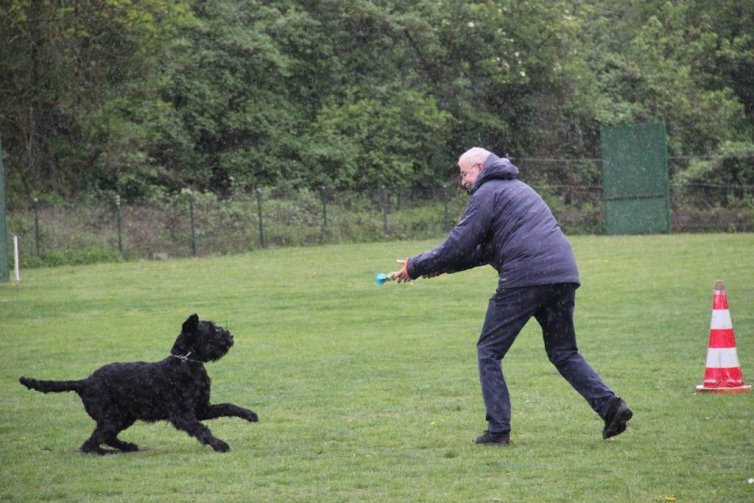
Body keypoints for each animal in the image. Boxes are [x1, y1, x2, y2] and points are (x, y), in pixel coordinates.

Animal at [18, 316, 258, 452]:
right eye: (213, 330)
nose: (230, 336)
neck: (185, 363)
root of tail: (84, 382)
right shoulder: (182, 415)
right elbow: (202, 430)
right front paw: (220, 445)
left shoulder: (201, 409)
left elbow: (228, 406)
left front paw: (250, 414)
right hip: (113, 417)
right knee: (93, 442)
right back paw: (111, 451)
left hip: (123, 417)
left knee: (103, 437)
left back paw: (126, 448)